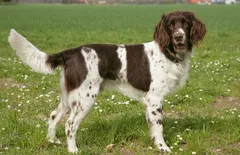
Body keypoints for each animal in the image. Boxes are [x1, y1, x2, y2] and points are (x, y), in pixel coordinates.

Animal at [7, 11, 206, 154]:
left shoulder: (149, 101)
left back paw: (52, 141)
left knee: (54, 116)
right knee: (70, 124)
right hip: (85, 97)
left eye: (185, 23)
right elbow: (158, 127)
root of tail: (73, 52)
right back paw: (73, 149)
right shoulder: (155, 98)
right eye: (171, 25)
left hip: (68, 96)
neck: (167, 53)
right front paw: (163, 148)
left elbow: (152, 125)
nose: (179, 37)